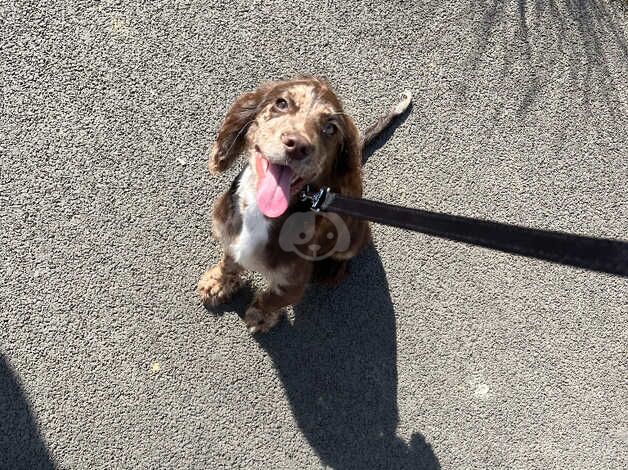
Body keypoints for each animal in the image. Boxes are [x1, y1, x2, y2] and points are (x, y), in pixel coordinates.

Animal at [199, 77, 410, 332]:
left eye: (330, 128)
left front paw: (260, 316)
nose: (297, 146)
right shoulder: (230, 238)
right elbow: (229, 263)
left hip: (353, 236)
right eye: (281, 103)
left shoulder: (293, 283)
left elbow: (271, 299)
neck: (261, 214)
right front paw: (217, 284)